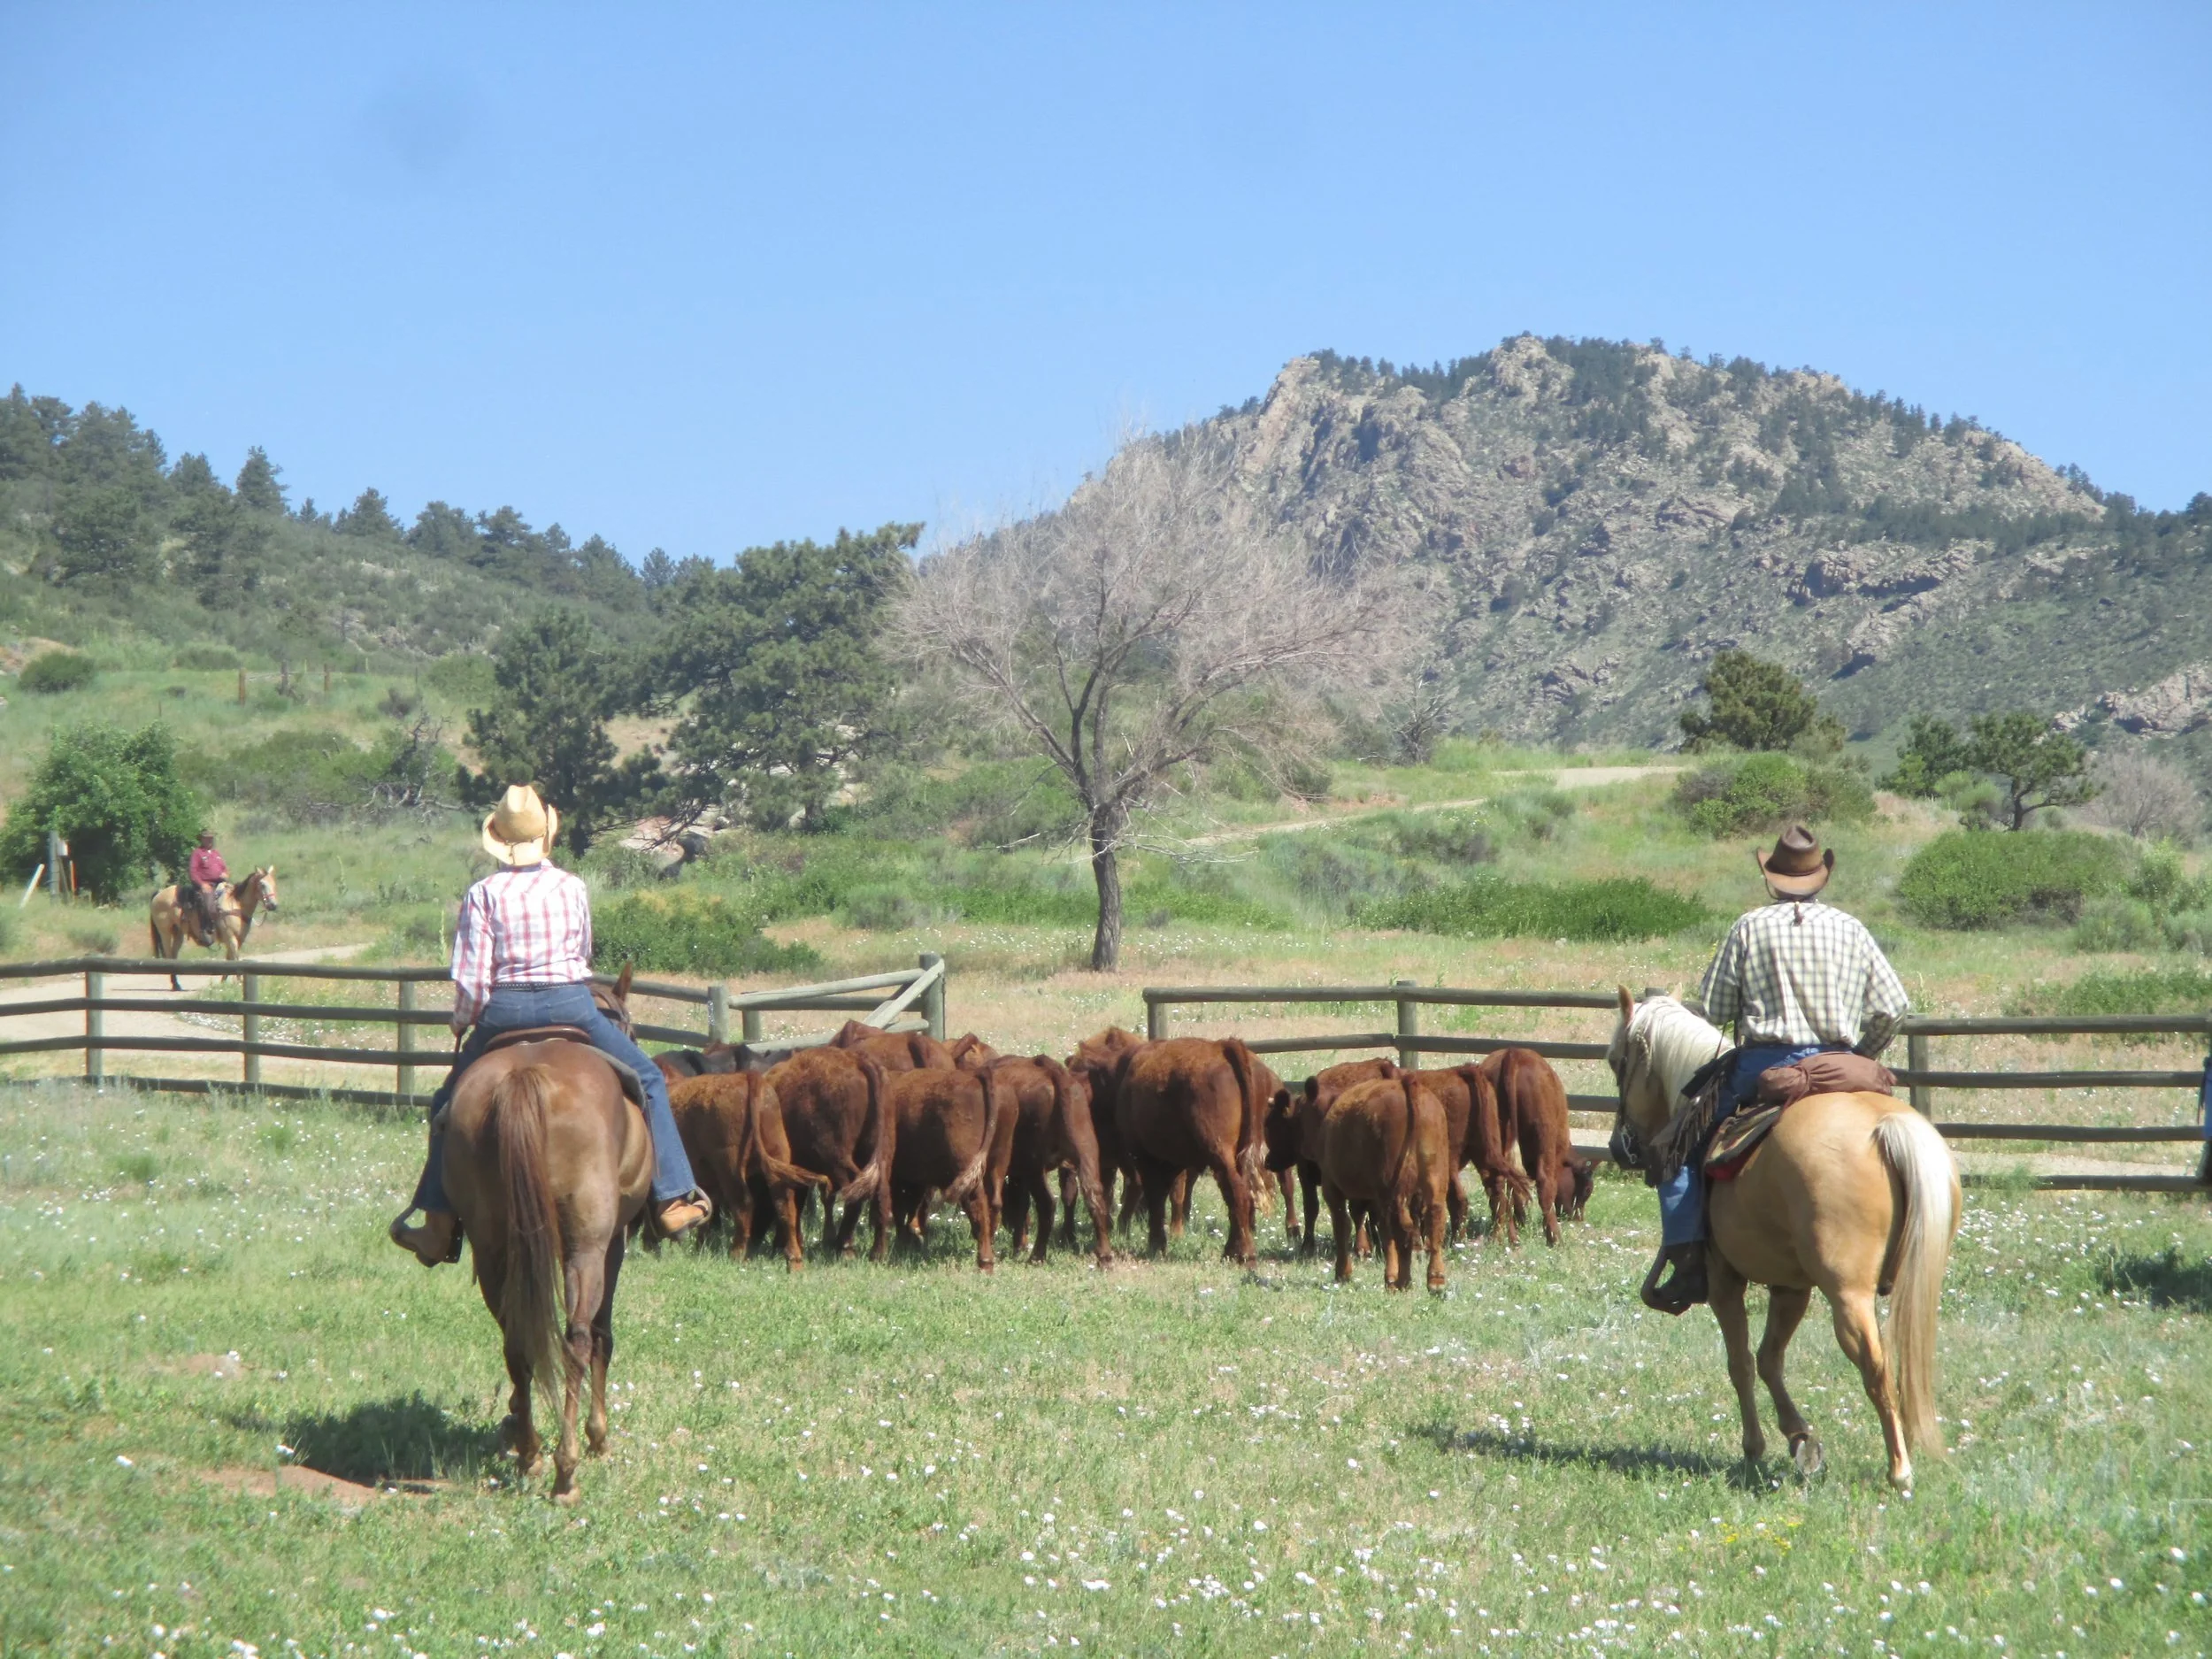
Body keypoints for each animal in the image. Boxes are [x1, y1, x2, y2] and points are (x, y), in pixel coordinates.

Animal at [665, 1071, 827, 1270]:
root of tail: (747, 1076)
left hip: (730, 1167)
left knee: (744, 1206)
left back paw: (736, 1255)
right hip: (777, 1157)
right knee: (786, 1207)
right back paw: (794, 1262)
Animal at [760, 1048, 896, 1260]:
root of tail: (856, 1060)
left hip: (836, 1158)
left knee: (853, 1192)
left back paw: (845, 1247)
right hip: (883, 1152)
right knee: (881, 1191)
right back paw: (877, 1253)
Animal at [883, 1065, 1016, 1271]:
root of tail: (978, 1074)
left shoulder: (899, 1176)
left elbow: (901, 1208)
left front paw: (904, 1242)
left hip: (967, 1162)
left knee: (977, 1203)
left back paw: (984, 1260)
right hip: (999, 1159)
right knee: (994, 1202)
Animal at [1114, 1037, 1279, 1265]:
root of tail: (1224, 1046)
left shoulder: (1147, 1157)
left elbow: (1157, 1196)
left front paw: (1156, 1245)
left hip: (1219, 1152)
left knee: (1238, 1193)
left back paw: (1242, 1253)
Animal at [1313, 1075, 1455, 1291]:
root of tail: (1406, 1085)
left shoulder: (1332, 1188)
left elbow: (1342, 1227)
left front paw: (1343, 1273)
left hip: (1393, 1189)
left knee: (1401, 1231)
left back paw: (1401, 1281)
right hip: (1434, 1178)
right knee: (1434, 1222)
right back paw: (1435, 1280)